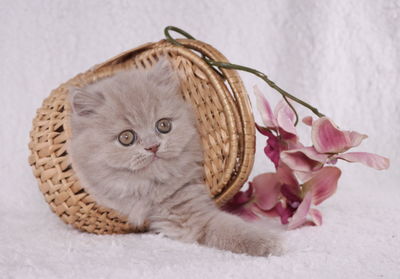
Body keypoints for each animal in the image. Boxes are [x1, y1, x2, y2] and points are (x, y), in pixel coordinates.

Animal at [69, 58, 282, 258]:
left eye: (163, 125)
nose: (153, 147)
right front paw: (270, 243)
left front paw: (269, 243)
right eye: (126, 137)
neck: (148, 188)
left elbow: (231, 228)